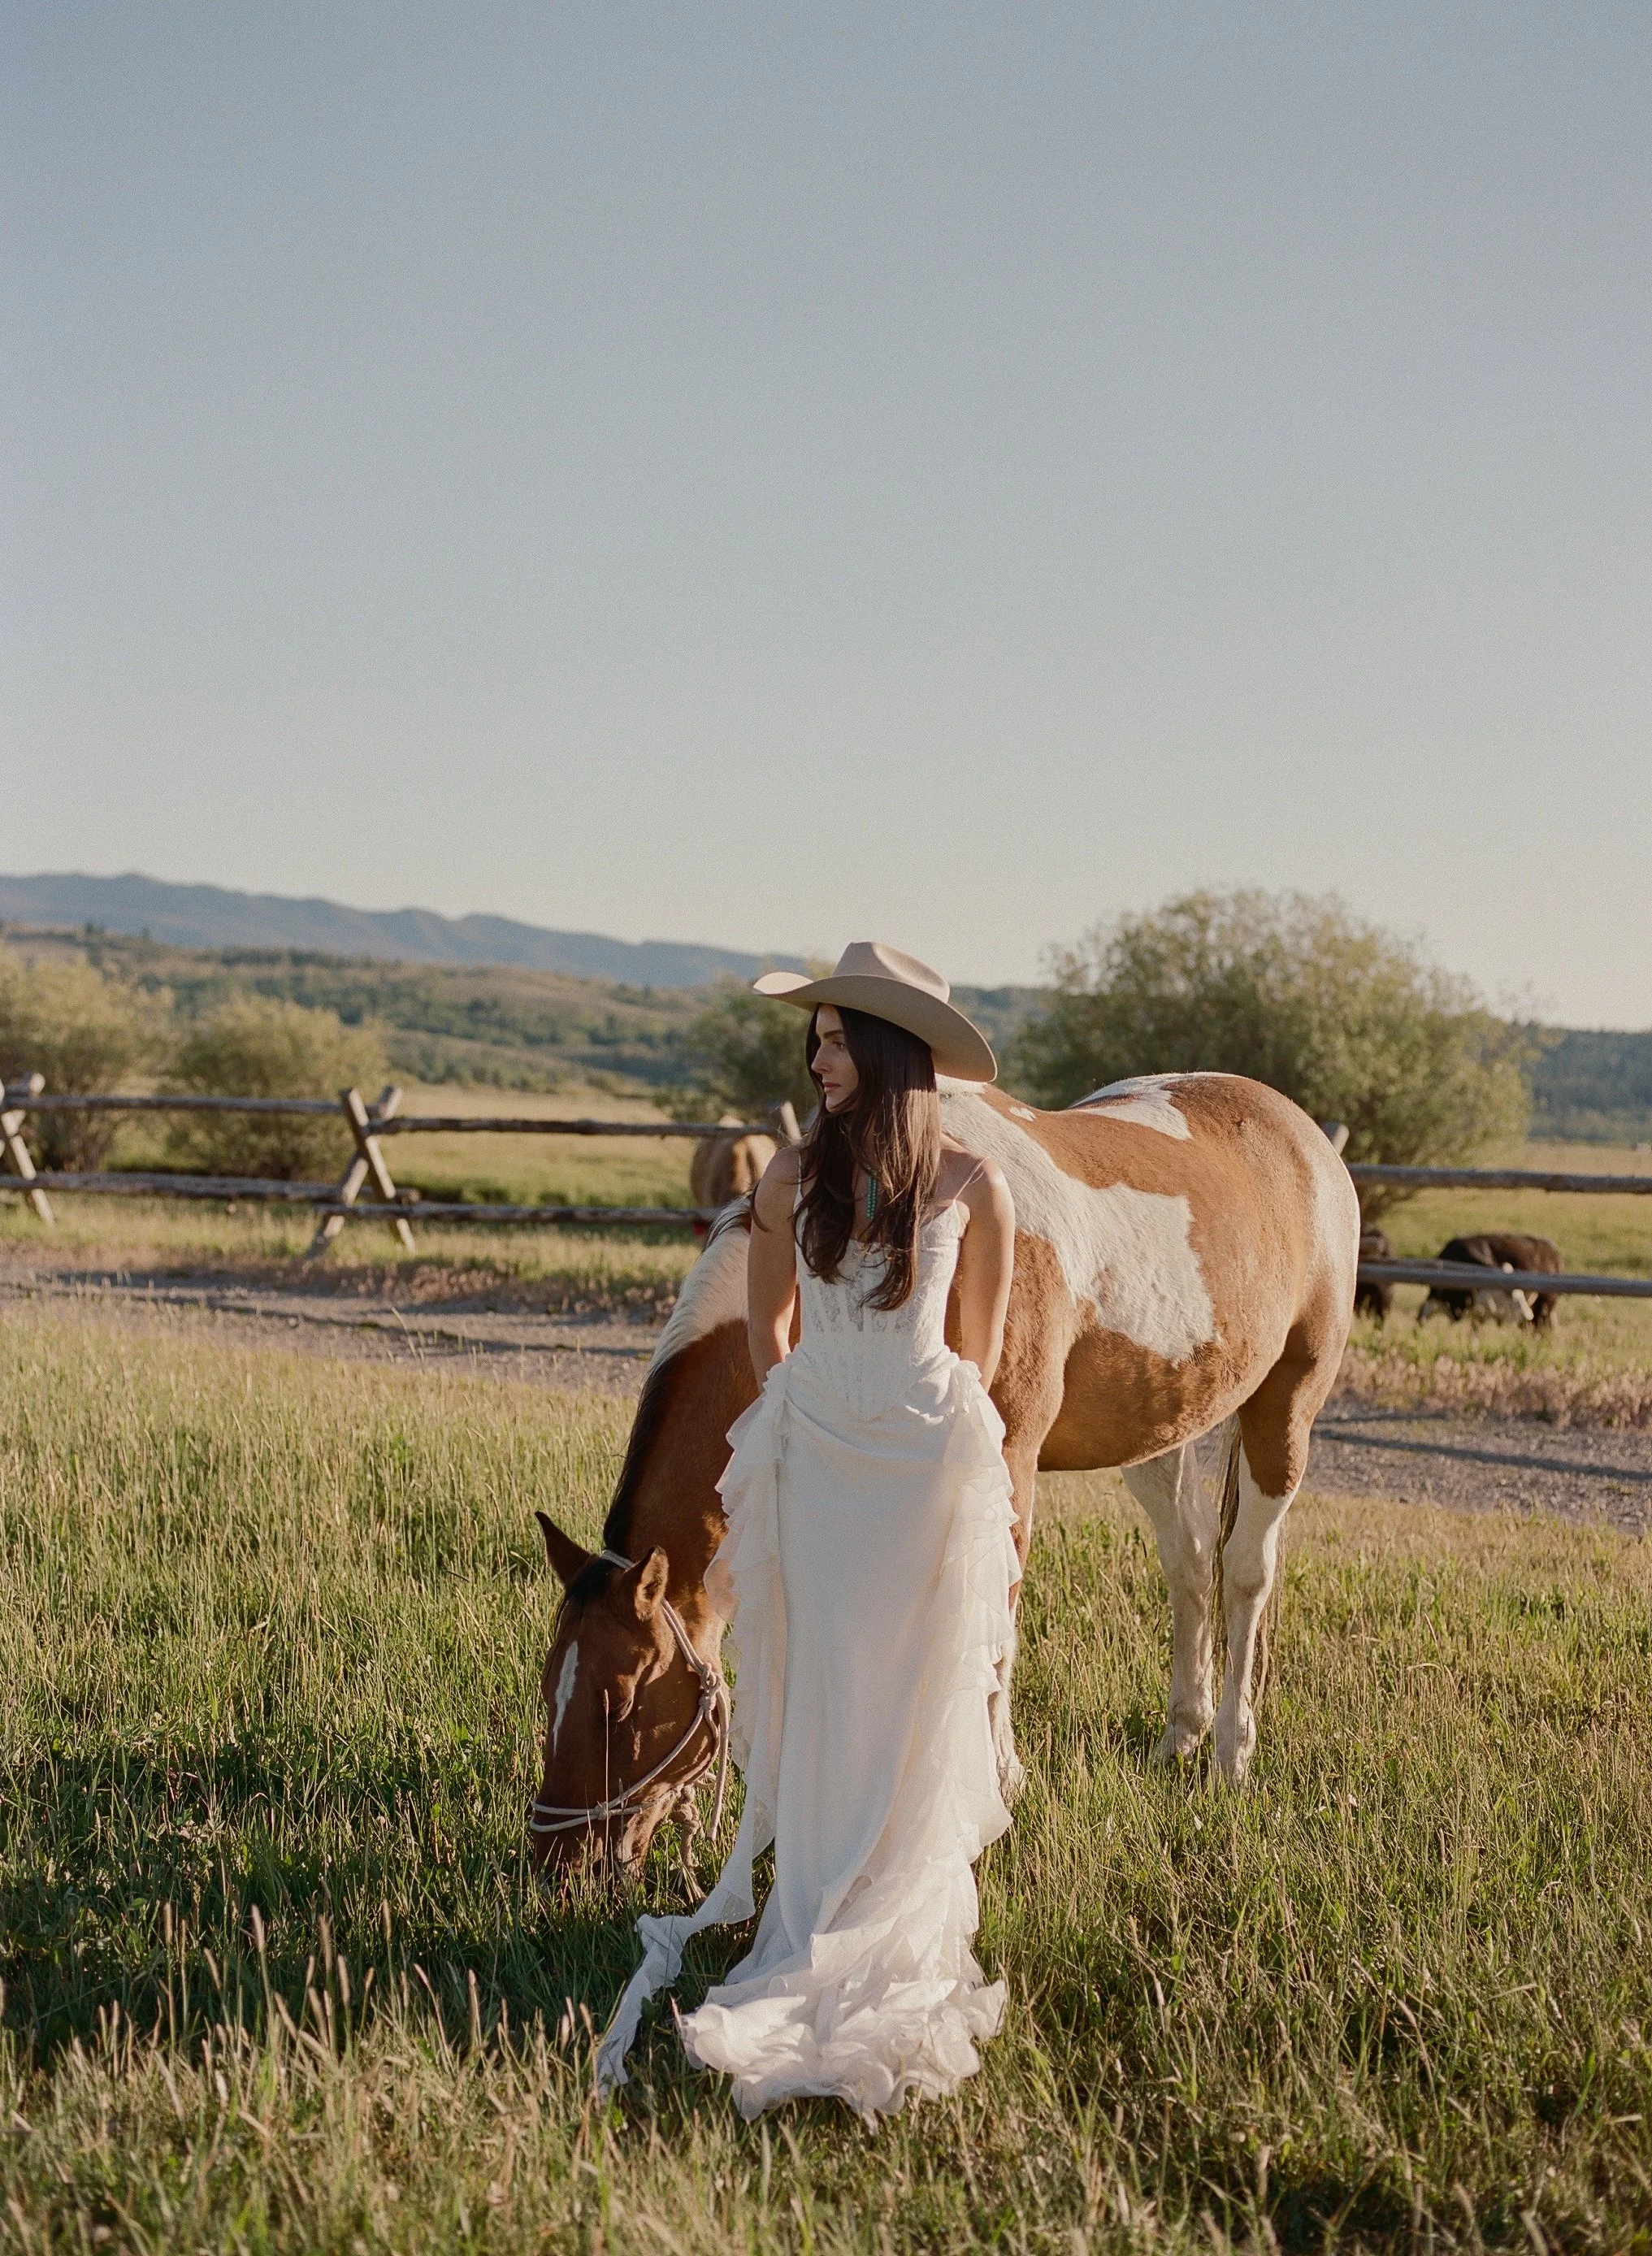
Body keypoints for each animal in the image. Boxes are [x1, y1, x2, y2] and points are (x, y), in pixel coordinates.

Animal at [528, 1072, 1360, 1877]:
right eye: (547, 1683)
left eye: (619, 1701)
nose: (559, 1862)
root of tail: (1299, 1133)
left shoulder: (1004, 1462)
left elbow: (990, 1625)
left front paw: (993, 1783)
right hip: (1160, 1432)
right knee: (1188, 1565)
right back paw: (1180, 1734)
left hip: (1286, 1407)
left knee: (1245, 1572)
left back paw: (1228, 1754)